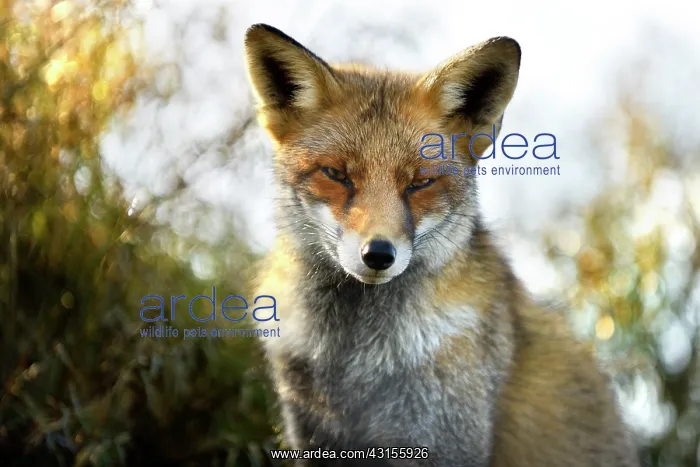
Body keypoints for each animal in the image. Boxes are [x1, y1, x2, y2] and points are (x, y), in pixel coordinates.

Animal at [244, 23, 639, 467]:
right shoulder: (313, 434)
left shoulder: (440, 438)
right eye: (336, 174)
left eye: (420, 183)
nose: (378, 254)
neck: (352, 357)